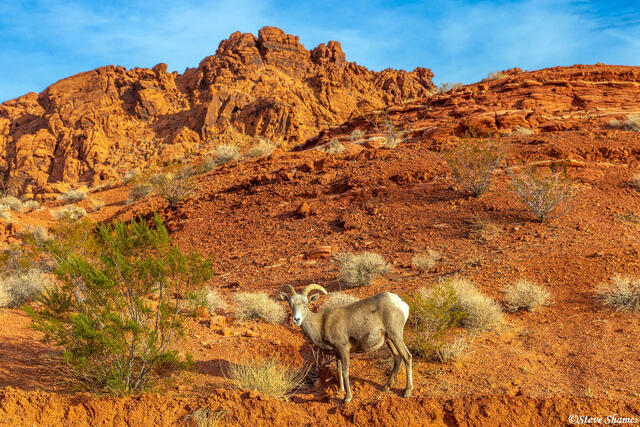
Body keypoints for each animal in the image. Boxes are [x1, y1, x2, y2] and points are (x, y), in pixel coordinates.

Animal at [277, 283, 412, 403]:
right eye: (290, 305)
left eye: (305, 305)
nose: (296, 319)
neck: (321, 324)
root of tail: (401, 304)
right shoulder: (337, 352)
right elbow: (339, 370)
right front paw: (340, 391)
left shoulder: (343, 349)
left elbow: (345, 372)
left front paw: (347, 398)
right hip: (389, 340)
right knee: (398, 357)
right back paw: (386, 387)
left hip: (396, 336)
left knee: (407, 356)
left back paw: (407, 391)